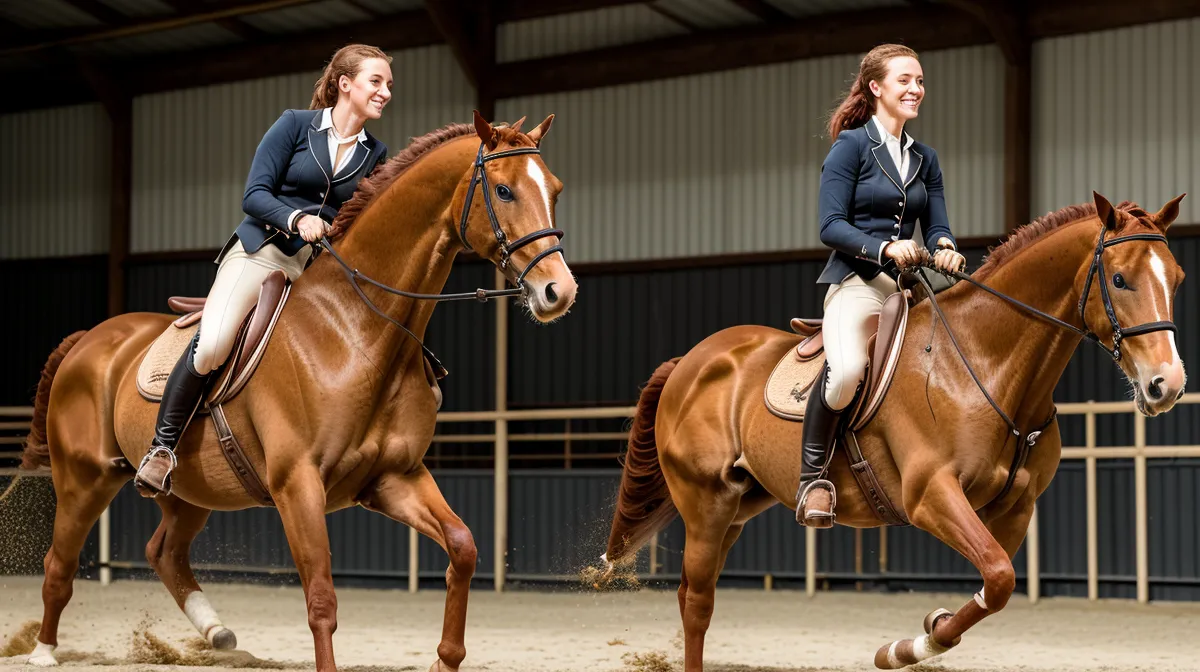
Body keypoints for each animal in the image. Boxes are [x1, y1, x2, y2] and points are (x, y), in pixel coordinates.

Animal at [19, 111, 576, 672]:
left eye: (555, 189)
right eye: (503, 190)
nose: (560, 291)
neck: (353, 328)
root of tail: (89, 339)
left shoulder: (394, 477)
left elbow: (462, 546)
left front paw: (446, 657)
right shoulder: (298, 485)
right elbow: (322, 599)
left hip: (192, 489)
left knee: (164, 551)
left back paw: (217, 633)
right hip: (84, 479)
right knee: (59, 564)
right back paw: (43, 651)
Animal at [601, 191, 1187, 671]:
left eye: (1177, 278)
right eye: (1119, 280)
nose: (1168, 384)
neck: (985, 362)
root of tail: (691, 360)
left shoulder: (1016, 507)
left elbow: (995, 584)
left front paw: (925, 632)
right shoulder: (931, 495)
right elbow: (998, 576)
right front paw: (905, 650)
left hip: (741, 504)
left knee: (691, 593)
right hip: (707, 502)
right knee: (698, 602)